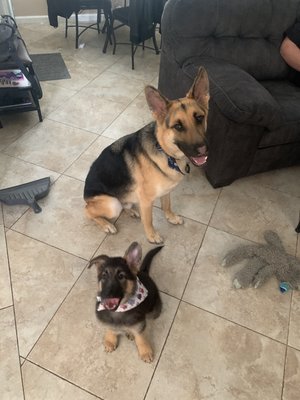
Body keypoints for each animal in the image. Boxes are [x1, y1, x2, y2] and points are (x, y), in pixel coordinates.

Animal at [83, 67, 210, 242]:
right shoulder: (146, 200)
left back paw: (130, 210)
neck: (166, 153)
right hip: (111, 204)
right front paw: (152, 236)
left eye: (199, 118)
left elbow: (166, 205)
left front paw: (171, 217)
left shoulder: (166, 191)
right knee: (88, 211)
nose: (203, 149)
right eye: (178, 126)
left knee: (124, 205)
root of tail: (85, 195)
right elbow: (148, 220)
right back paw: (106, 224)